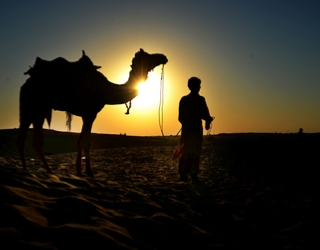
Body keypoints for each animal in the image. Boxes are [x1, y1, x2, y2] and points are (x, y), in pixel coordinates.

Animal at [16, 48, 168, 177]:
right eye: (148, 55)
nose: (164, 57)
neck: (106, 90)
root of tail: (26, 83)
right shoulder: (91, 114)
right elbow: (87, 142)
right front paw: (89, 172)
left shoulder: (86, 115)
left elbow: (79, 141)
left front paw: (79, 171)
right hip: (33, 107)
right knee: (28, 138)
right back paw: (41, 170)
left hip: (35, 111)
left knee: (27, 139)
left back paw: (32, 169)